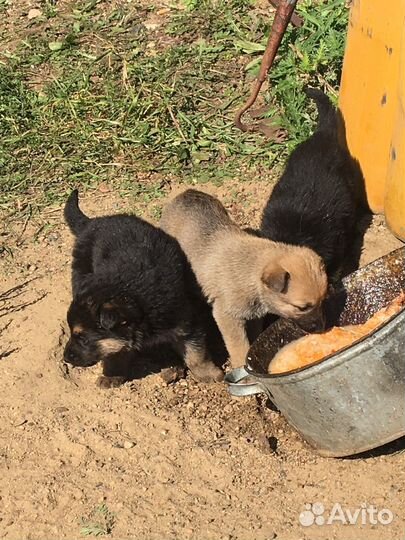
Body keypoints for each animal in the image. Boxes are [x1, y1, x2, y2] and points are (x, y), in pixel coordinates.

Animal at [63, 190, 223, 388]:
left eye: (83, 339)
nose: (65, 358)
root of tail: (91, 222)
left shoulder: (186, 323)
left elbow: (196, 355)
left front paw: (208, 374)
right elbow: (115, 352)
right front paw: (112, 375)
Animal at [159, 188, 326, 370]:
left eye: (323, 300)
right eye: (302, 307)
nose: (322, 328)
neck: (252, 273)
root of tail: (188, 192)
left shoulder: (254, 315)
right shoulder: (227, 316)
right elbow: (238, 346)